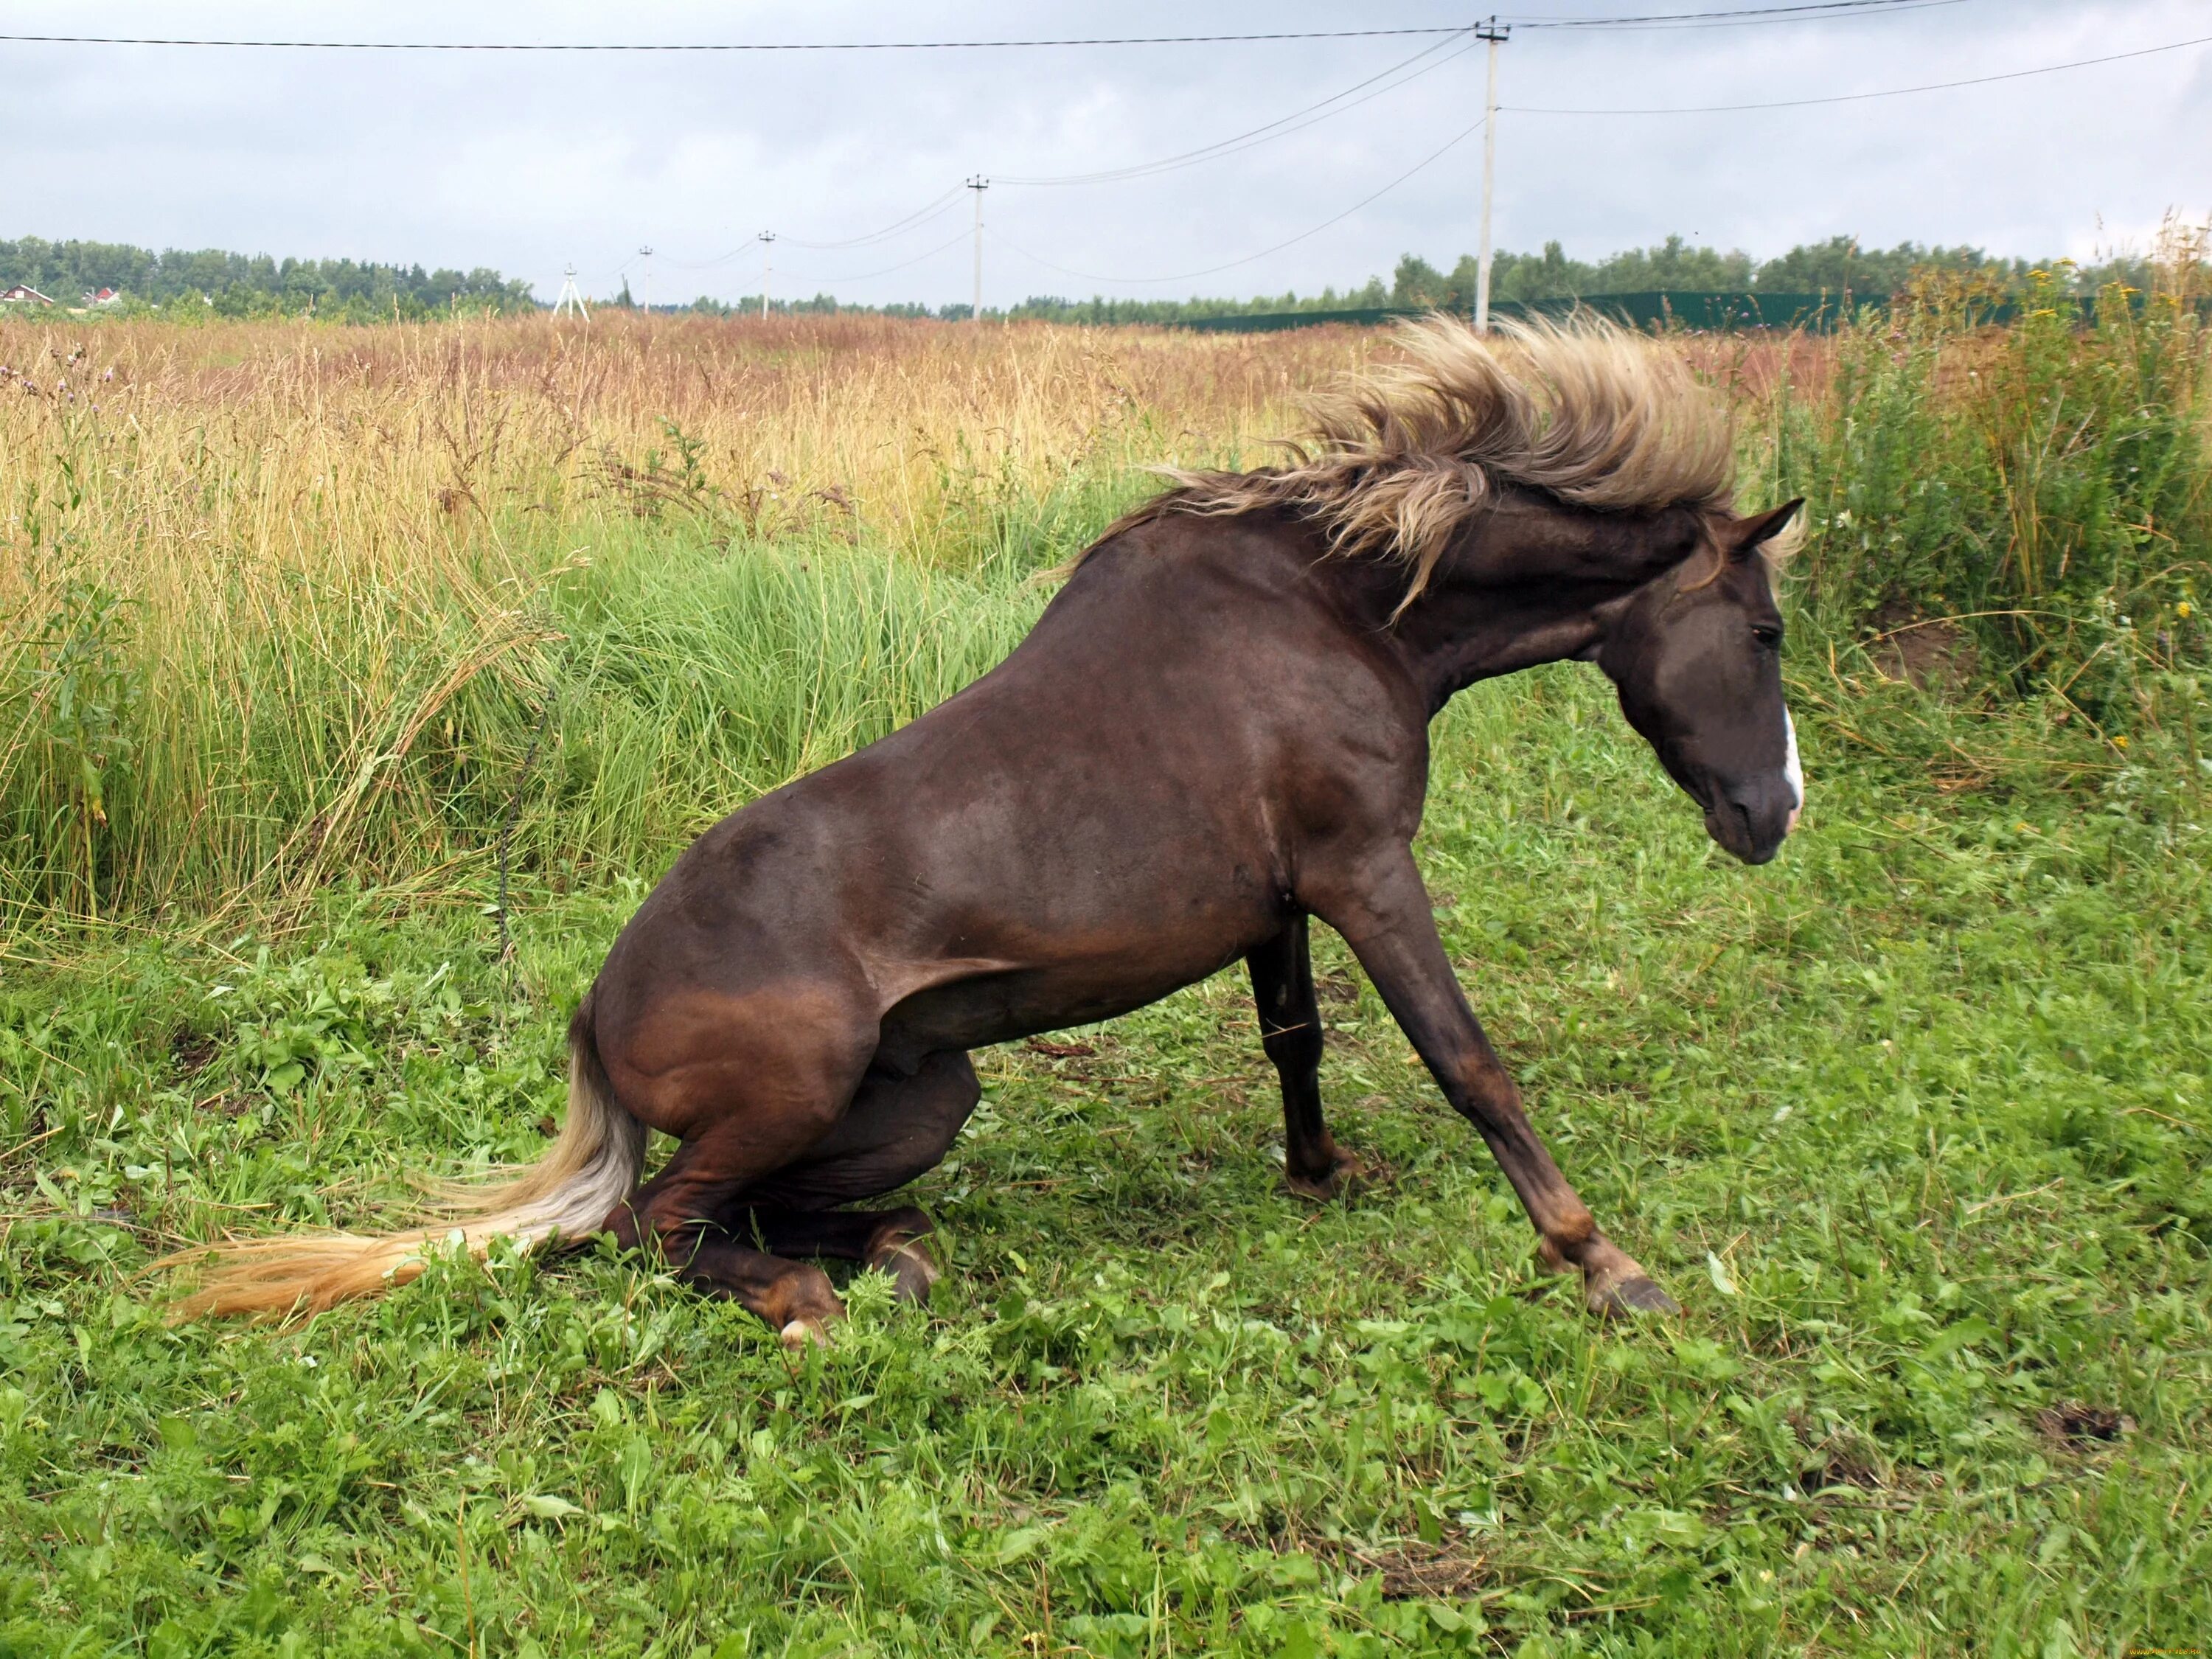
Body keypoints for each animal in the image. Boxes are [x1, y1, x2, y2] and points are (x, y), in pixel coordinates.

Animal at [181, 321, 1805, 1354]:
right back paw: (814, 1306)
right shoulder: (1365, 874)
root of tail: (592, 1010)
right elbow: (1469, 1062)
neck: (1336, 603)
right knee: (659, 1224)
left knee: (749, 1213)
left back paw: (890, 1257)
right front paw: (1607, 1267)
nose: (1773, 814)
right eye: (1768, 631)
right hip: (802, 1087)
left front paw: (1322, 1174)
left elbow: (1296, 1040)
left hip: (930, 1094)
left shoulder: (1281, 900)